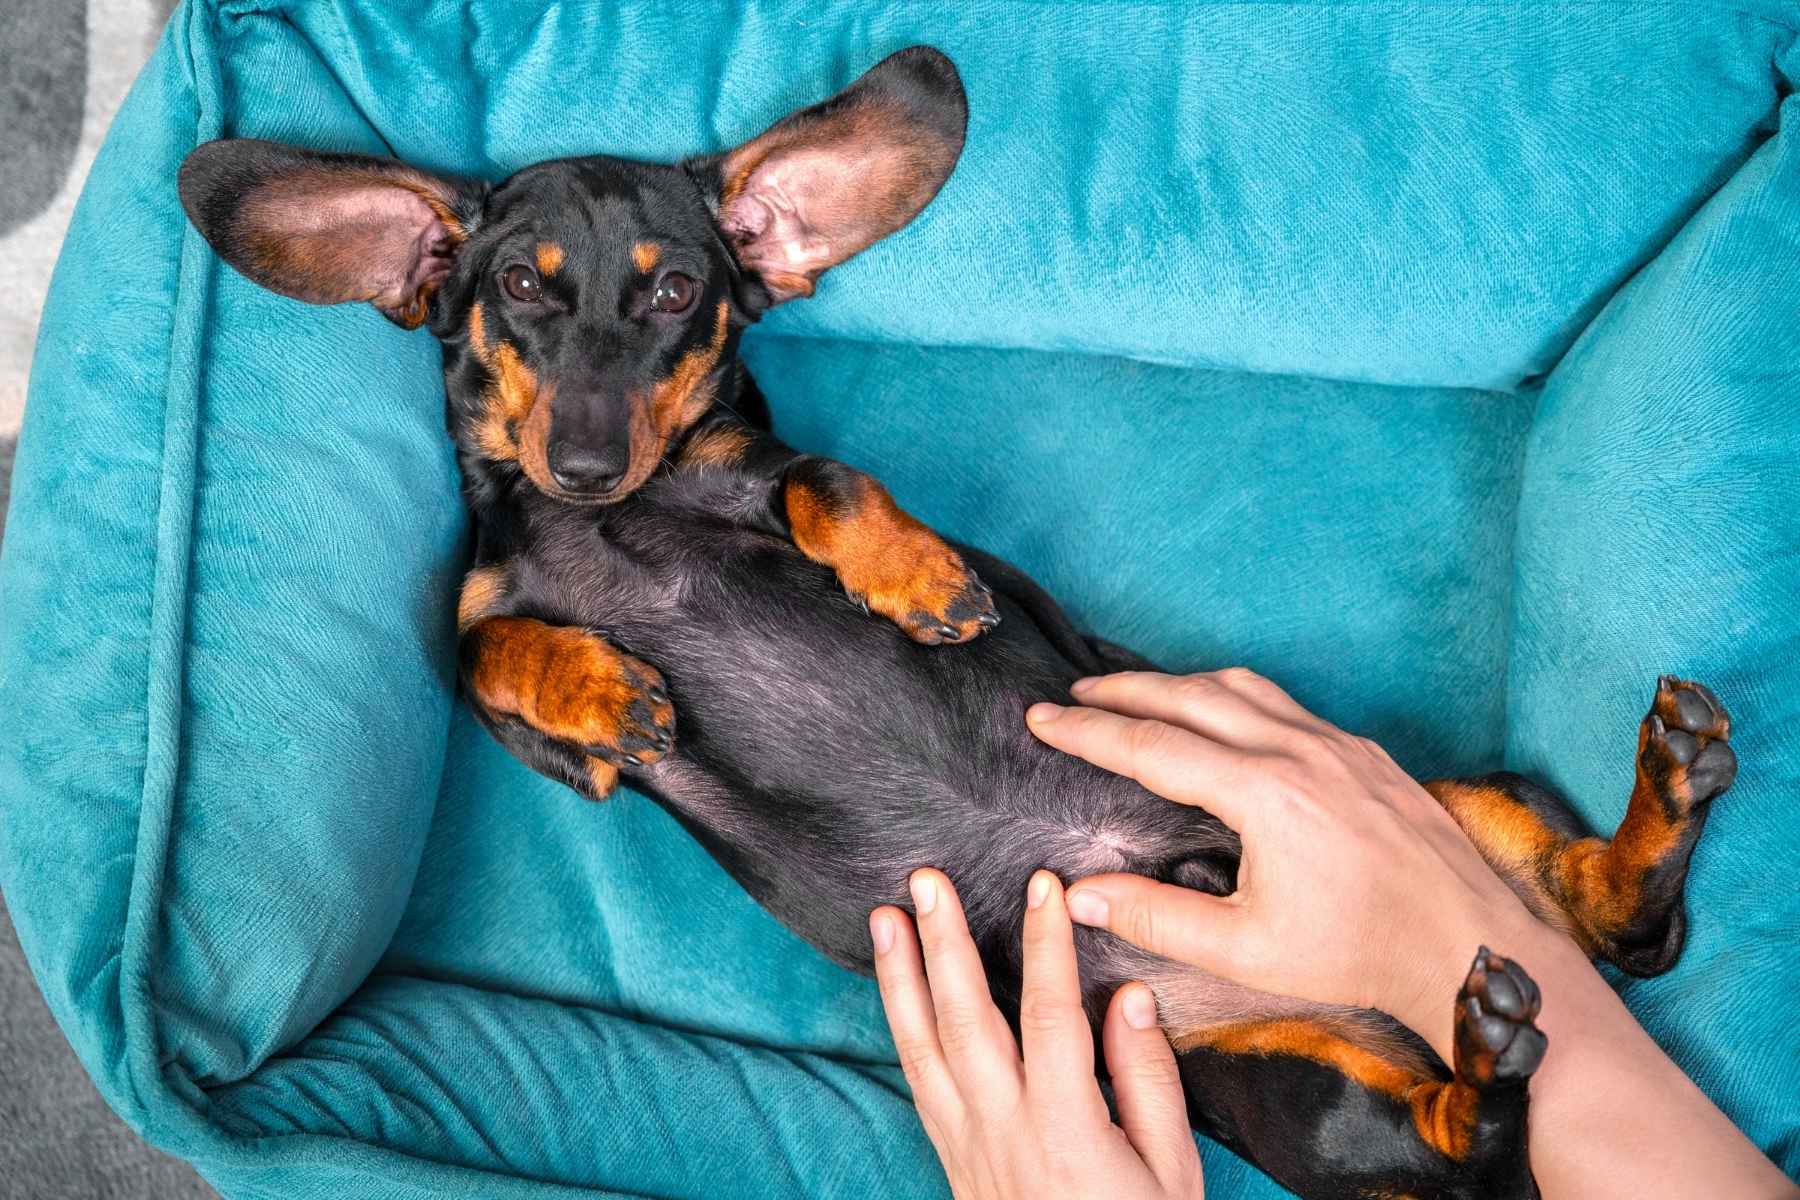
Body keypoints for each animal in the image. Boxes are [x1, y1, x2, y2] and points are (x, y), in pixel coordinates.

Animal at [175, 47, 1735, 1200]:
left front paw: (915, 580)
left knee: (1603, 963)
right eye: (515, 288)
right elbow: (485, 648)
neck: (612, 521)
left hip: (1433, 827)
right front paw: (599, 687)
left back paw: (1640, 829)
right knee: (1508, 1084)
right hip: (1292, 1084)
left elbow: (826, 479)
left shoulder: (753, 474)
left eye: (676, 290)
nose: (585, 461)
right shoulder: (494, 642)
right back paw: (1510, 1017)